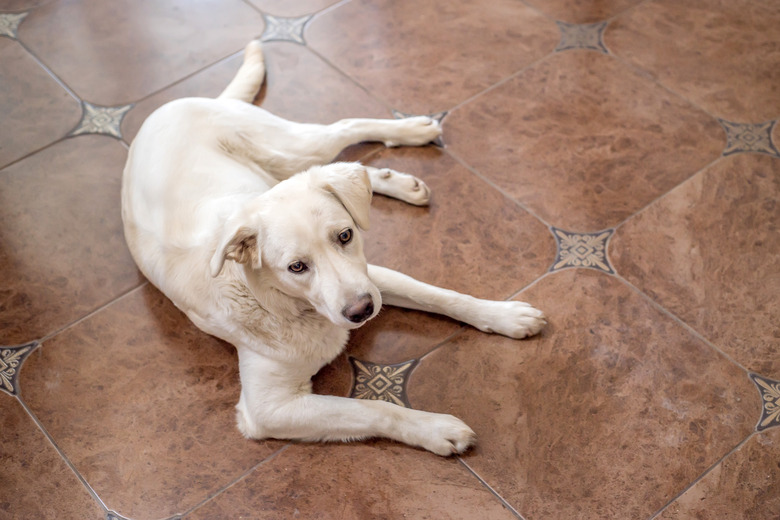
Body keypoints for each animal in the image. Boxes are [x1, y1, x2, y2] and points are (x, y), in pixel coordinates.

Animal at [122, 41, 544, 456]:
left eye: (345, 236)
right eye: (296, 267)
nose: (362, 312)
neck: (288, 306)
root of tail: (176, 104)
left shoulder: (370, 276)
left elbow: (442, 296)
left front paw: (503, 315)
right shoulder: (270, 409)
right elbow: (372, 408)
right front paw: (435, 428)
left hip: (291, 150)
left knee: (342, 135)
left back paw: (409, 133)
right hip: (285, 161)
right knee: (330, 163)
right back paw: (396, 176)